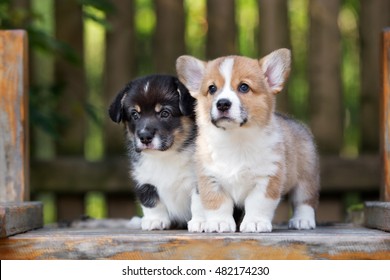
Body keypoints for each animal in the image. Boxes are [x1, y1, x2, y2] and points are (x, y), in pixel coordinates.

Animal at [108, 74, 203, 230]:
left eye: (165, 113)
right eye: (135, 114)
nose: (144, 137)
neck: (165, 156)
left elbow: (199, 201)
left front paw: (201, 222)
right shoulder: (143, 179)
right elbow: (150, 201)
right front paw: (154, 221)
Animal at [177, 49, 320, 233]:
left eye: (244, 87)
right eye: (212, 88)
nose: (222, 104)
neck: (235, 139)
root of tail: (294, 121)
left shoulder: (267, 178)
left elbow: (257, 204)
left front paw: (256, 222)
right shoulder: (210, 178)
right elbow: (217, 203)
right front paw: (219, 223)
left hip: (306, 177)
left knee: (304, 201)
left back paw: (302, 220)